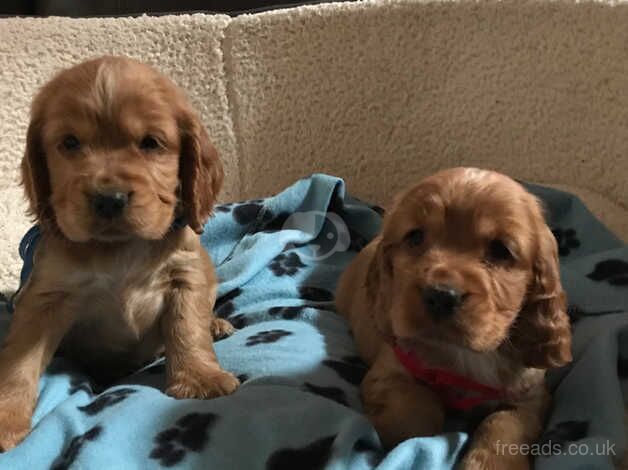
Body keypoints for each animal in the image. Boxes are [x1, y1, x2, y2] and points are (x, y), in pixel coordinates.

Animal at [0, 57, 239, 450]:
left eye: (151, 143)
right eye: (70, 143)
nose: (108, 199)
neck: (119, 247)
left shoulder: (186, 275)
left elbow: (187, 328)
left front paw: (201, 380)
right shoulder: (45, 296)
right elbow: (20, 360)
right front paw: (6, 418)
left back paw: (216, 323)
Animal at [336, 167, 572, 468]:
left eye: (501, 250)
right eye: (415, 237)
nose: (441, 296)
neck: (463, 354)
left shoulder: (529, 396)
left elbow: (503, 425)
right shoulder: (389, 372)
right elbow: (420, 413)